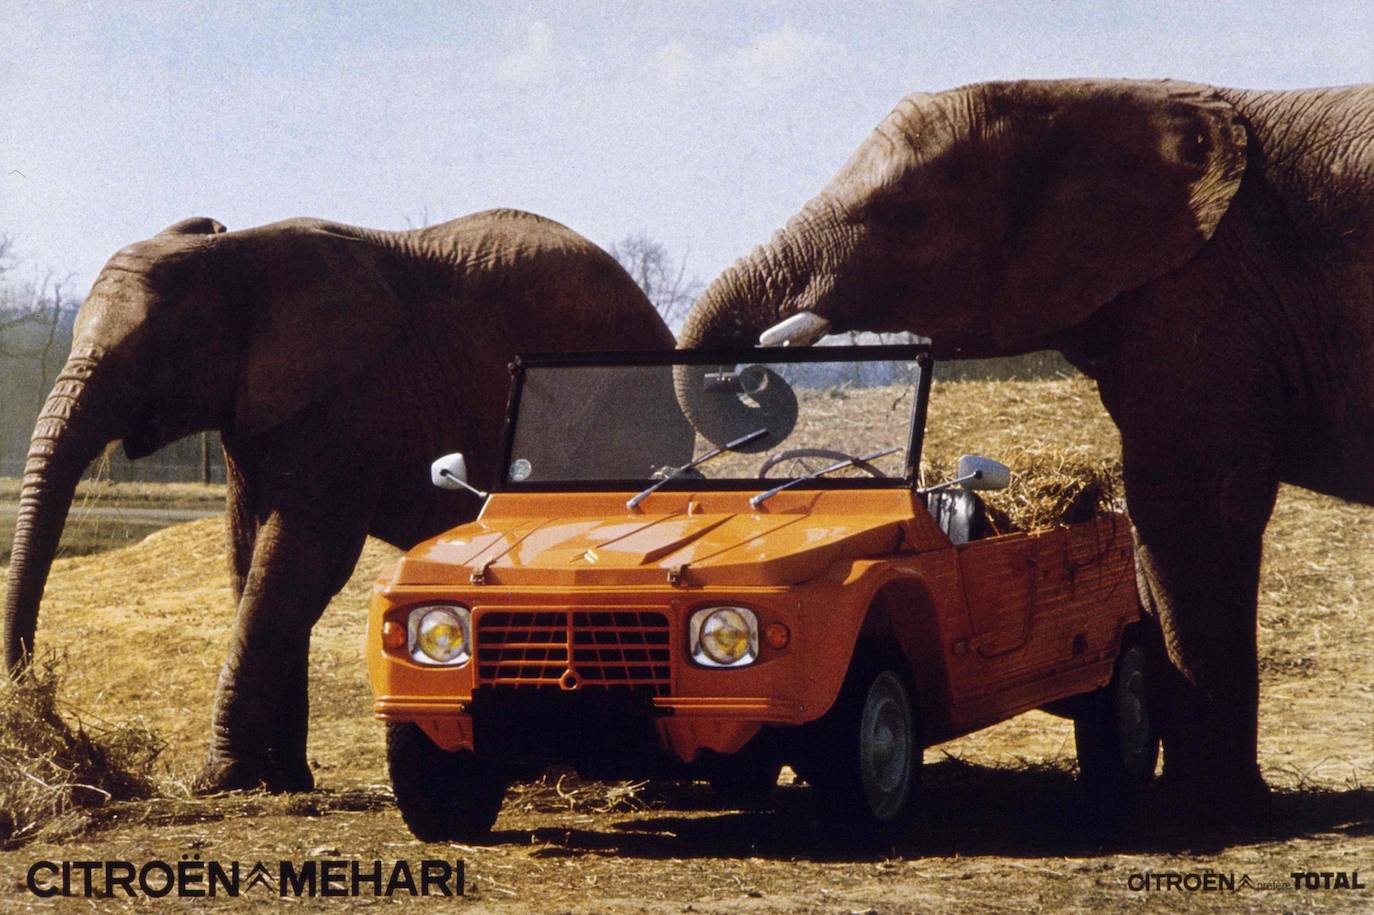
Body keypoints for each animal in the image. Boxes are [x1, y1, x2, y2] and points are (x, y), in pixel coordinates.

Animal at [5, 206, 692, 791]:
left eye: (148, 353)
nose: (37, 711)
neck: (233, 257)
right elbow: (252, 559)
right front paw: (279, 784)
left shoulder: (352, 402)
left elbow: (301, 559)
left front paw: (219, 782)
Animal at [678, 76, 1374, 807]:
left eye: (905, 216)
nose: (750, 374)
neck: (1084, 95)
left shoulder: (1204, 295)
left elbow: (1188, 508)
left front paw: (1210, 805)